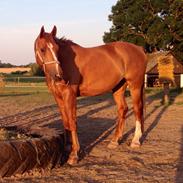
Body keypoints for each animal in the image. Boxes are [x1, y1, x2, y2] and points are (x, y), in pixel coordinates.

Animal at [34, 25, 147, 164]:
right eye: (42, 49)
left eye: (56, 49)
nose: (58, 75)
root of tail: (139, 49)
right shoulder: (58, 97)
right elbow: (65, 122)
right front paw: (67, 147)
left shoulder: (70, 95)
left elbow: (72, 121)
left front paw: (74, 154)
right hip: (119, 87)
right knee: (123, 109)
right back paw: (114, 141)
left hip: (135, 85)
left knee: (137, 109)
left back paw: (135, 141)